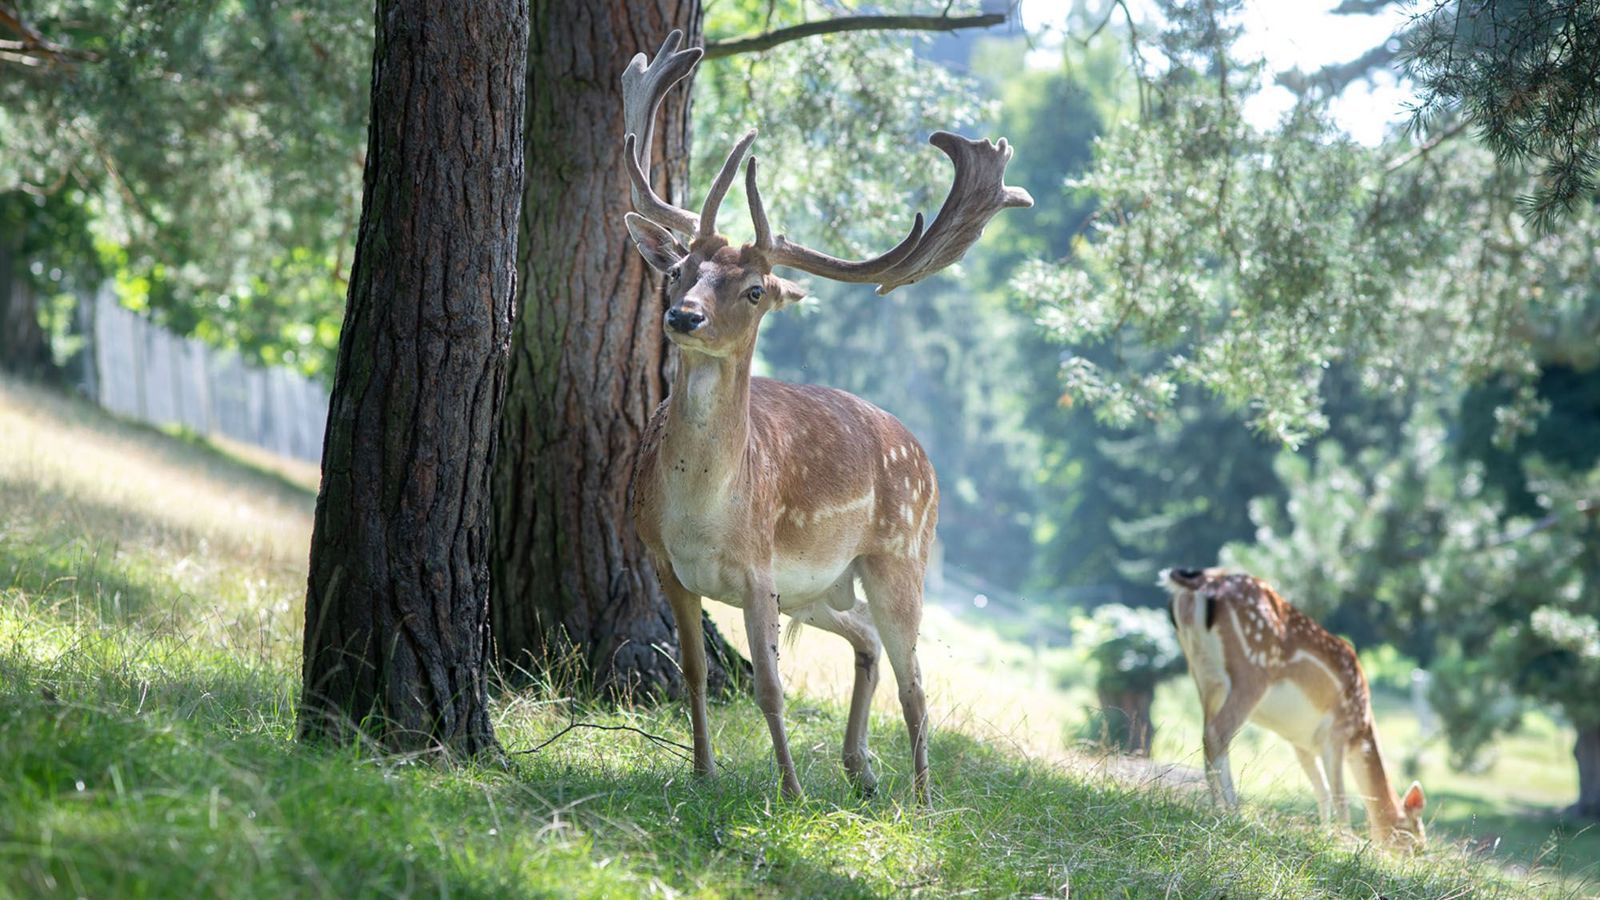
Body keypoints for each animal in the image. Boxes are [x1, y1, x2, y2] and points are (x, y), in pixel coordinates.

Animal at [617, 31, 1030, 797]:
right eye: (680, 269)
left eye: (754, 289)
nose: (682, 316)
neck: (701, 516)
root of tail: (923, 453)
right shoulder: (665, 562)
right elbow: (694, 671)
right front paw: (703, 774)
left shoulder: (758, 569)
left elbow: (771, 688)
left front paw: (789, 791)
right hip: (820, 586)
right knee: (865, 638)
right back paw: (860, 768)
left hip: (900, 554)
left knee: (915, 680)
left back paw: (922, 797)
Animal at [1158, 563, 1433, 845]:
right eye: (1414, 838)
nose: (1419, 853)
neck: (1362, 729)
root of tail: (1197, 583)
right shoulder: (1336, 733)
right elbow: (1340, 796)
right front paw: (1344, 842)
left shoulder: (1301, 744)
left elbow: (1322, 791)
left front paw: (1325, 834)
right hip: (1253, 669)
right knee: (1217, 733)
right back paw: (1232, 811)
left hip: (1203, 675)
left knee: (1207, 733)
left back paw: (1219, 808)